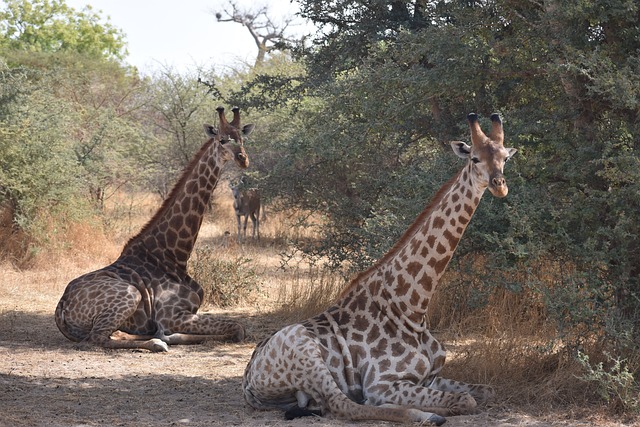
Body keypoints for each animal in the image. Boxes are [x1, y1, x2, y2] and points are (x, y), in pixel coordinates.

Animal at [55, 106, 255, 352]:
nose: (243, 159)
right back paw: (157, 342)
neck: (174, 255)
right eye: (222, 140)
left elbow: (237, 327)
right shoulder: (171, 315)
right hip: (130, 294)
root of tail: (61, 308)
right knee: (98, 338)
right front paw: (165, 336)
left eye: (242, 138)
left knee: (114, 334)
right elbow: (238, 328)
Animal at [242, 113, 516, 424]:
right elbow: (466, 400)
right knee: (343, 404)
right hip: (304, 350)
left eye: (505, 158)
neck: (413, 307)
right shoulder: (382, 382)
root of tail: (248, 380)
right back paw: (427, 415)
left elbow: (488, 391)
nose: (499, 185)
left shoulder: (432, 377)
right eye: (475, 159)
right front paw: (433, 410)